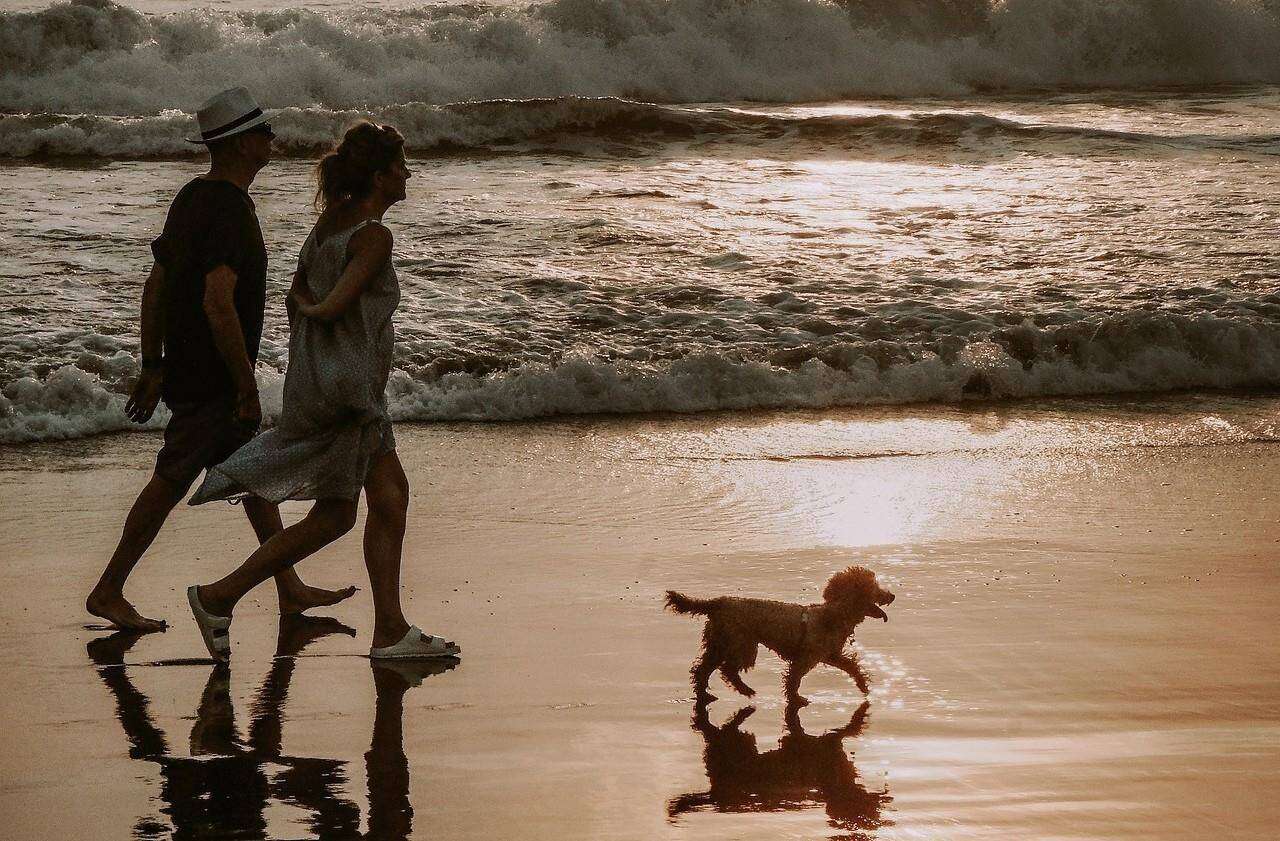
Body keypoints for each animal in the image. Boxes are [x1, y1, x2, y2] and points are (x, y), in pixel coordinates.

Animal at [665, 563, 896, 706]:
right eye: (875, 588)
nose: (892, 595)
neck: (833, 614)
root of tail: (717, 602)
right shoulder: (805, 658)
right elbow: (793, 680)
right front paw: (796, 700)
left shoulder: (830, 655)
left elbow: (851, 666)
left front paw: (863, 685)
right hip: (742, 644)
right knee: (727, 669)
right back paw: (745, 690)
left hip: (720, 642)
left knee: (702, 670)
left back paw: (706, 694)